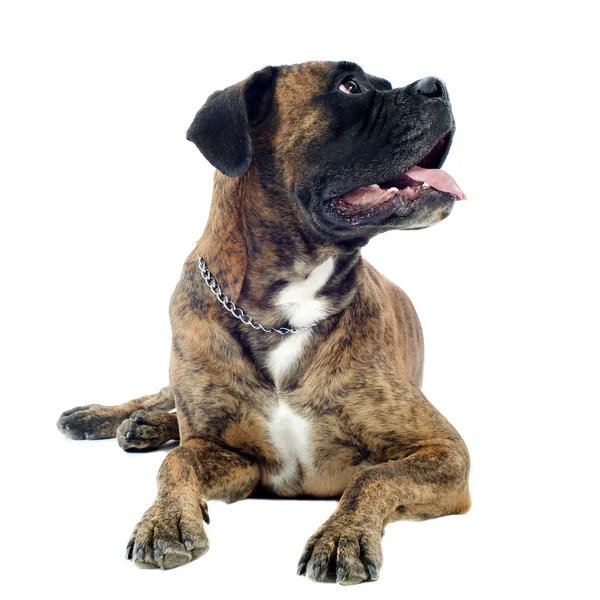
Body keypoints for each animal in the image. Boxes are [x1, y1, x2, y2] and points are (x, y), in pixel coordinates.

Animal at [59, 59, 474, 580]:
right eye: (350, 86)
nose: (438, 86)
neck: (284, 311)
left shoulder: (443, 451)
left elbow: (373, 478)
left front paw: (342, 537)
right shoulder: (237, 458)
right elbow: (178, 461)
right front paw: (167, 522)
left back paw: (145, 426)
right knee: (162, 398)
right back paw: (107, 417)